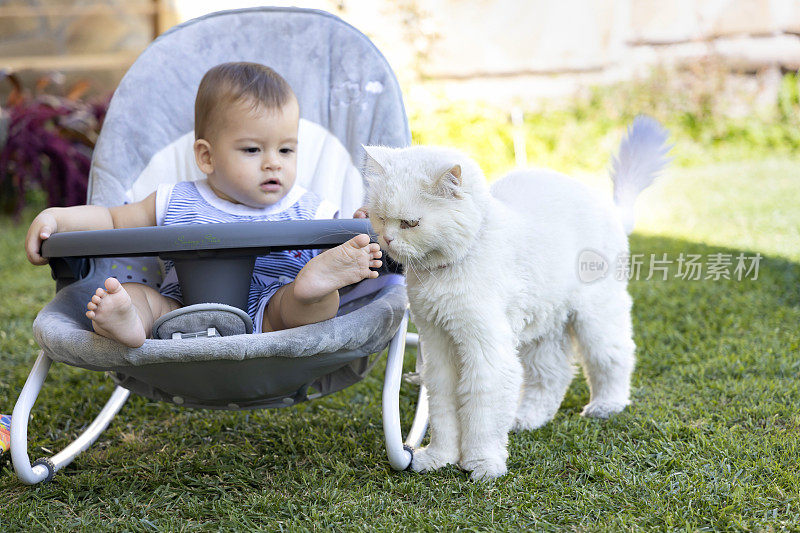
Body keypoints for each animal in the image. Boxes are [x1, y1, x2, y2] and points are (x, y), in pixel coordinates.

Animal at [366, 117, 672, 482]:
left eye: (410, 223)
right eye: (379, 216)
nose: (386, 239)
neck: (446, 268)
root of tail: (608, 208)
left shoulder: (487, 353)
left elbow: (481, 415)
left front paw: (482, 465)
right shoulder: (439, 348)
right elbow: (443, 413)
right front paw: (438, 458)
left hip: (595, 319)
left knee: (614, 358)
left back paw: (606, 406)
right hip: (542, 332)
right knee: (553, 377)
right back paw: (526, 419)